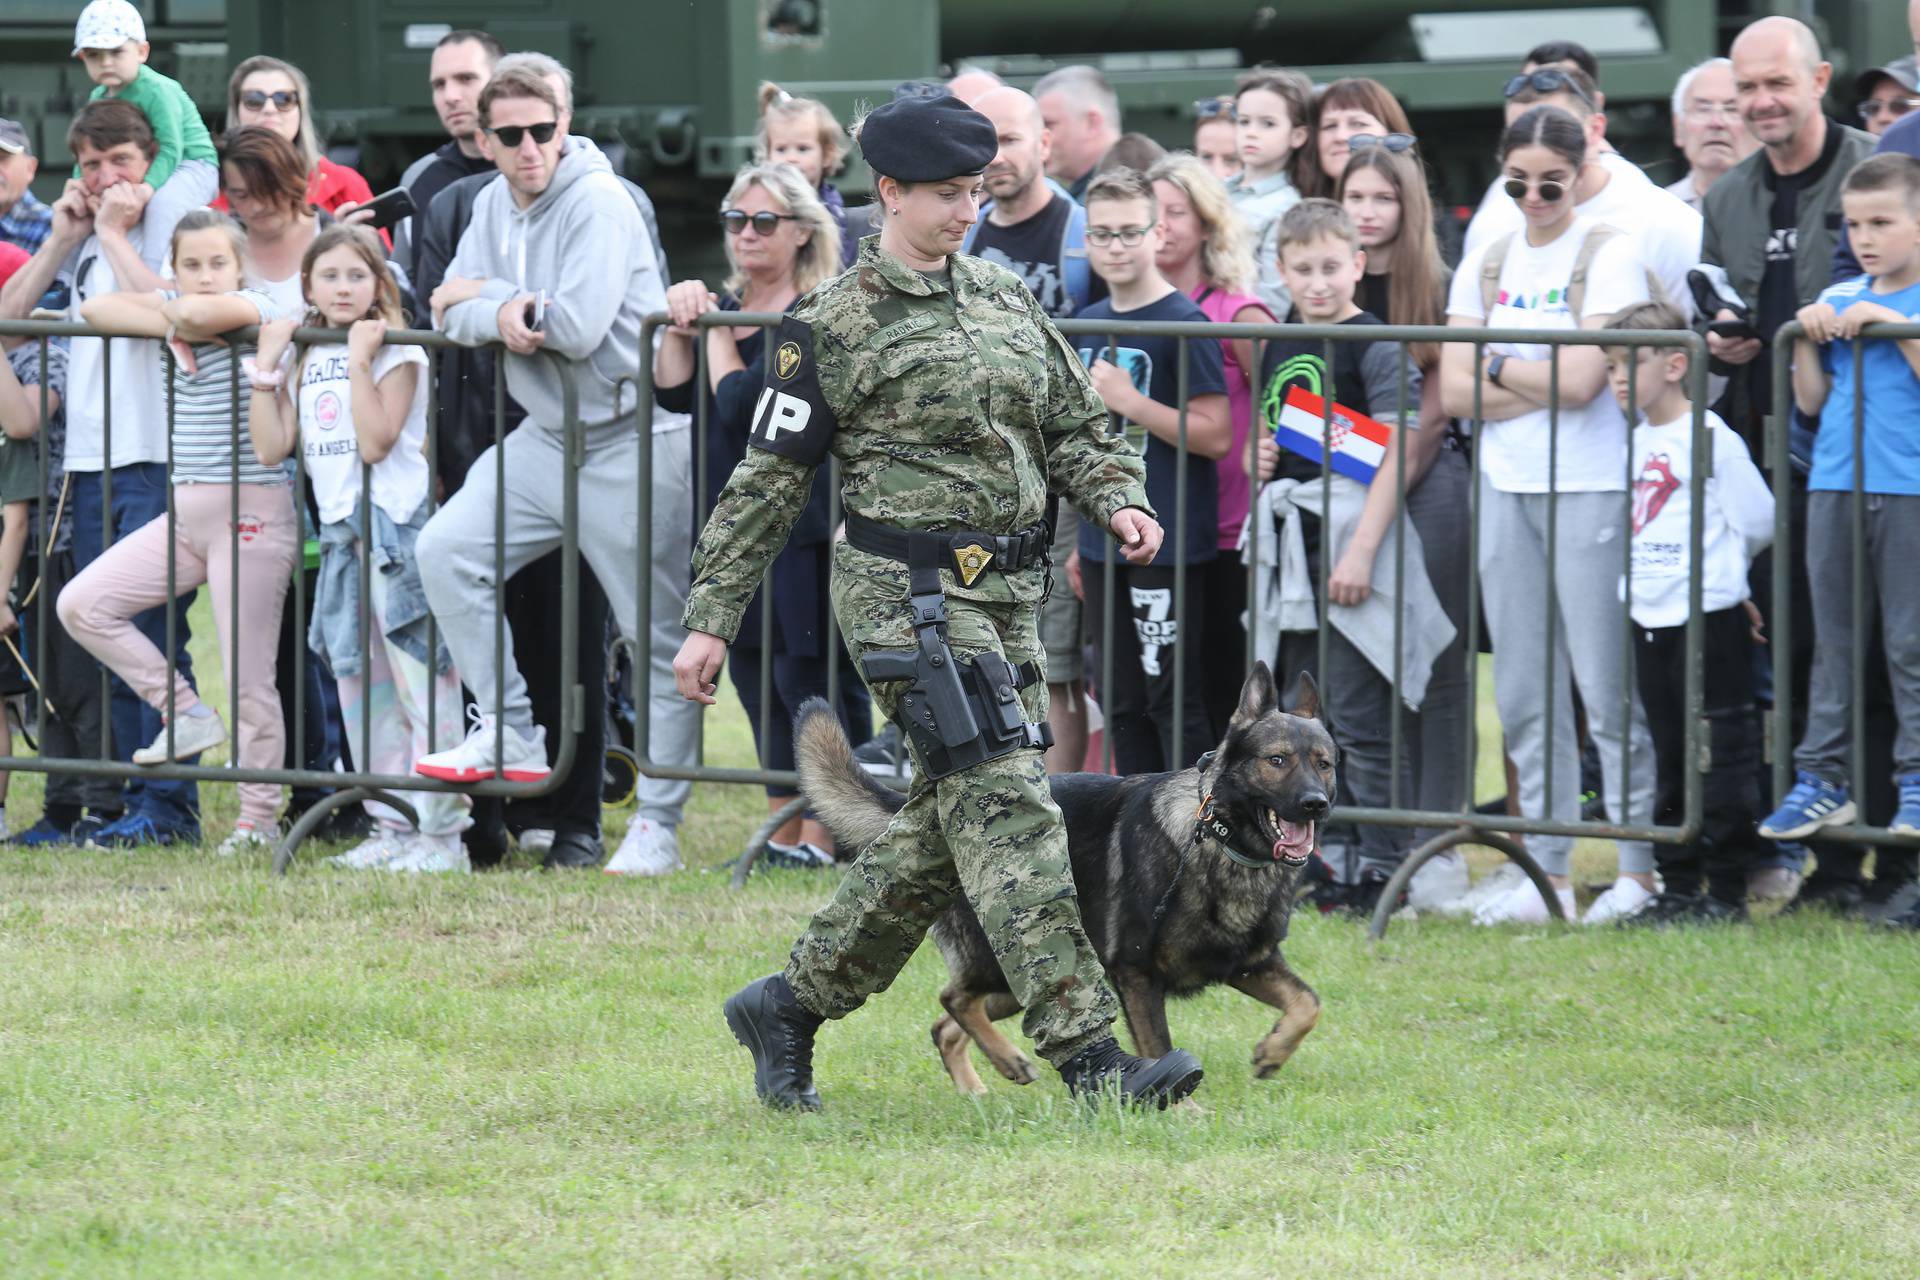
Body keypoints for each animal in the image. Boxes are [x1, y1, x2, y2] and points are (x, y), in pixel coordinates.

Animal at [794, 660, 1336, 1090]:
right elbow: (1159, 1048)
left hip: (1035, 978)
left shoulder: (1250, 964)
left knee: (947, 1024)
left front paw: (1272, 1052)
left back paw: (980, 1087)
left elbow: (1309, 1003)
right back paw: (1005, 1061)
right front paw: (1184, 1106)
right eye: (1277, 760)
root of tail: (930, 814)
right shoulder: (1136, 974)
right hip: (1010, 959)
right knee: (954, 999)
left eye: (1325, 763)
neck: (1223, 845)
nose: (1316, 805)